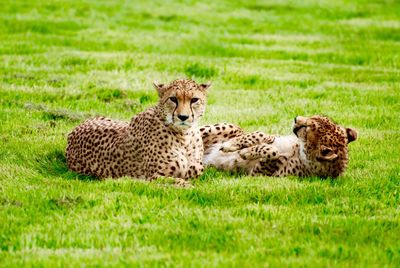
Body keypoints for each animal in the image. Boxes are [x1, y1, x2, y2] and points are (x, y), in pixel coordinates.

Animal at [66, 79, 209, 180]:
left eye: (194, 100)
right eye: (173, 99)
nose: (183, 117)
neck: (184, 136)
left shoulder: (195, 168)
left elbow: (194, 170)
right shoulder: (153, 177)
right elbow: (180, 182)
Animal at [202, 115, 358, 178]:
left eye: (308, 128)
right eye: (316, 116)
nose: (296, 118)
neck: (299, 151)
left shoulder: (257, 175)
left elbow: (273, 153)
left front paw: (245, 152)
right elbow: (262, 135)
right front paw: (232, 144)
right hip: (229, 127)